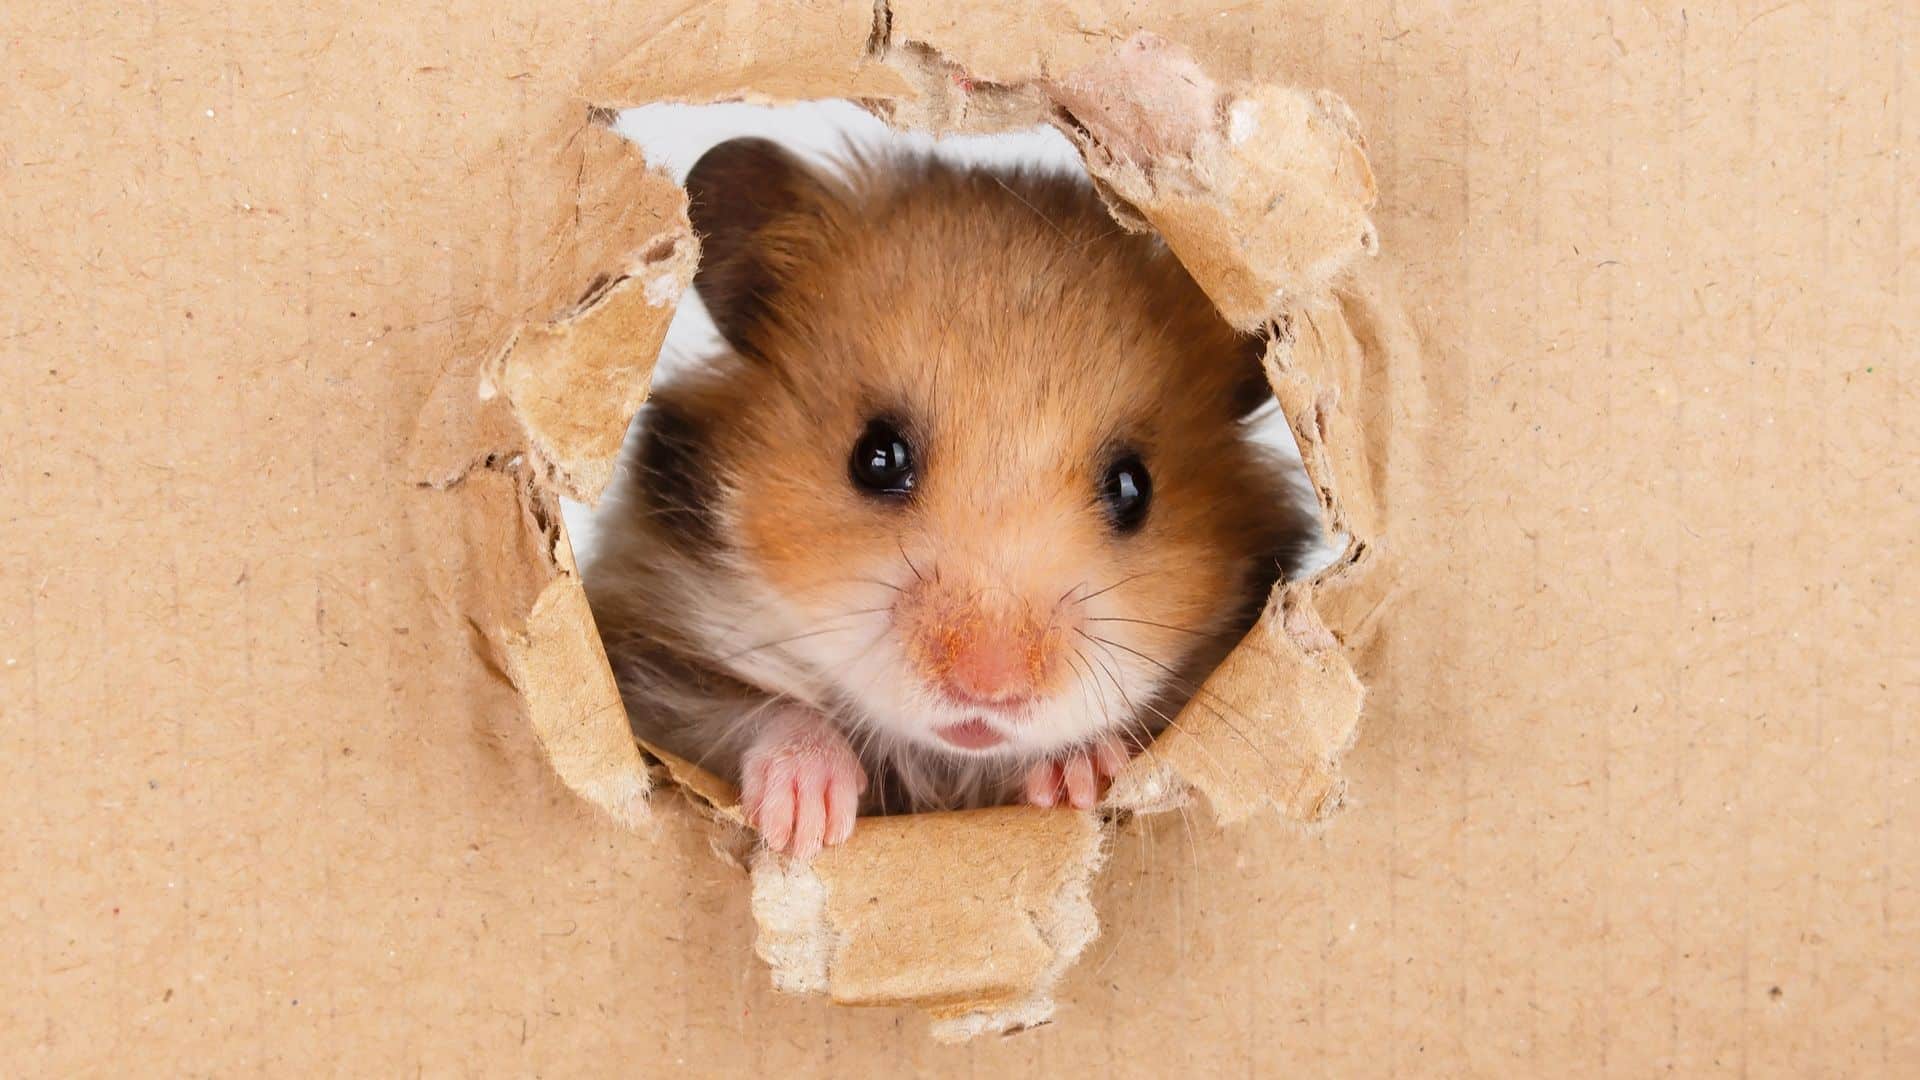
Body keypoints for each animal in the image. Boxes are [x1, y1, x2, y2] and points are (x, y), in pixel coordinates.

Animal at [585, 136, 1316, 858]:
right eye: (876, 456)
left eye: (1133, 488)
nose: (988, 688)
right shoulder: (651, 664)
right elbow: (760, 710)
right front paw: (808, 819)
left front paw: (1078, 775)